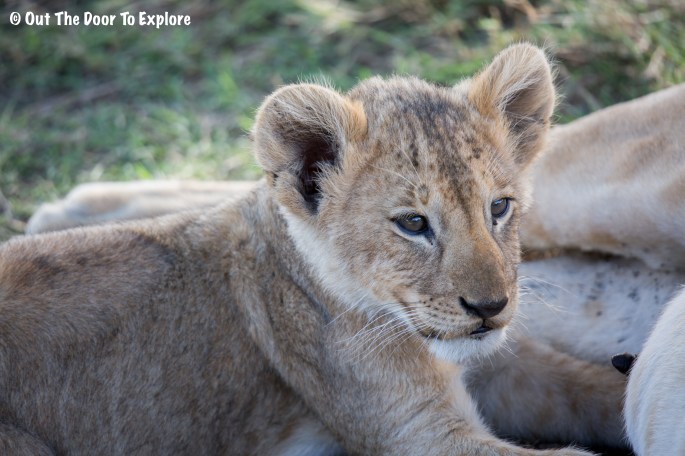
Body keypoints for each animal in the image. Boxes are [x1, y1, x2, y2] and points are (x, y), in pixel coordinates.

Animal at [0, 44, 626, 455]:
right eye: (413, 223)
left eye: (499, 208)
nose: (491, 308)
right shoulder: (416, 432)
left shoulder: (501, 363)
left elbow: (598, 388)